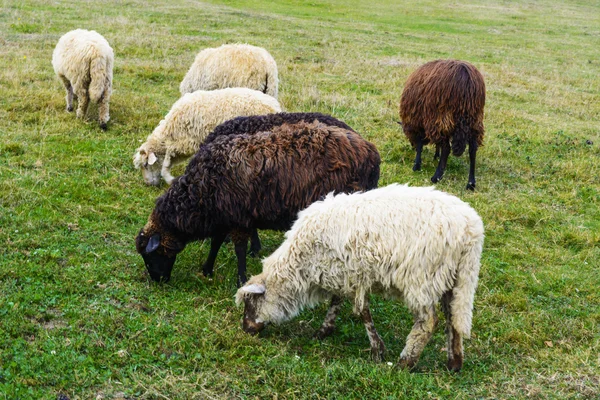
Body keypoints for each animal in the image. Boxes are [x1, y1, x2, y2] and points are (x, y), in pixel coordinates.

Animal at [132, 87, 282, 186]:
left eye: (146, 165)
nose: (148, 184)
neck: (169, 131)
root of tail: (275, 105)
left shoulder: (184, 143)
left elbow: (167, 161)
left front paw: (169, 178)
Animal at [136, 114, 380, 286]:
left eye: (150, 257)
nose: (159, 281)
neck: (201, 191)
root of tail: (371, 151)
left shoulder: (239, 219)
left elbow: (239, 250)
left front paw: (241, 279)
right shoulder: (224, 217)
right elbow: (216, 243)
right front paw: (207, 269)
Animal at [237, 184, 486, 372]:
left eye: (251, 302)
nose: (245, 330)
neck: (299, 267)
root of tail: (471, 230)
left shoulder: (353, 276)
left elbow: (362, 312)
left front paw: (377, 350)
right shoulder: (342, 274)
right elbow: (337, 302)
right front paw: (324, 330)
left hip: (422, 277)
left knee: (428, 323)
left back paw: (405, 362)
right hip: (453, 277)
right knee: (453, 317)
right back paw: (454, 363)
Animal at [398, 59, 488, 191]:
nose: (411, 146)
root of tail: (466, 77)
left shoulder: (420, 122)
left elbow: (420, 144)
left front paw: (417, 165)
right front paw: (436, 155)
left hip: (441, 116)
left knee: (447, 148)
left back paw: (436, 177)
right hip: (475, 120)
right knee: (472, 150)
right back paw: (471, 183)